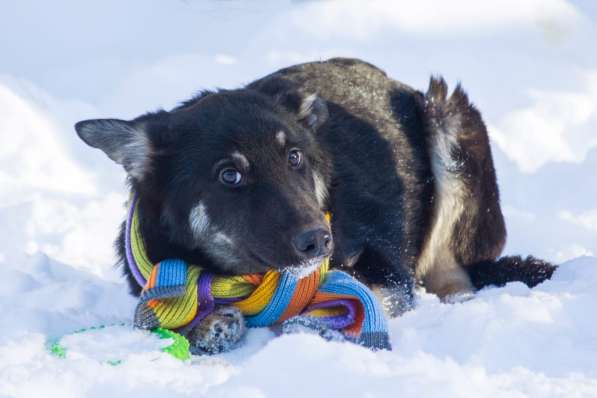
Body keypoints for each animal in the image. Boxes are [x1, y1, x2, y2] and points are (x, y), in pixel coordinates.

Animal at [74, 57, 556, 352]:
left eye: (294, 157)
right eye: (229, 175)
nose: (320, 241)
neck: (243, 279)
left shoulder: (387, 271)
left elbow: (360, 297)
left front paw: (310, 324)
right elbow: (147, 317)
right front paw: (206, 326)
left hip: (449, 120)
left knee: (454, 275)